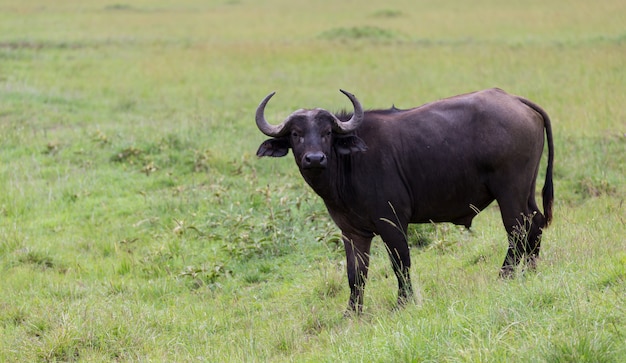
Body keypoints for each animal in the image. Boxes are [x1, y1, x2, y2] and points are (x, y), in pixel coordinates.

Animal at [254, 88, 552, 312]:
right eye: (296, 134)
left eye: (327, 133)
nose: (315, 159)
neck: (349, 164)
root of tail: (515, 100)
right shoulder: (351, 232)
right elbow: (355, 274)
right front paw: (352, 313)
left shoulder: (392, 222)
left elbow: (400, 263)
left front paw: (403, 303)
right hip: (526, 189)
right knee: (535, 222)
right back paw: (532, 270)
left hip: (509, 191)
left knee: (516, 230)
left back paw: (505, 276)